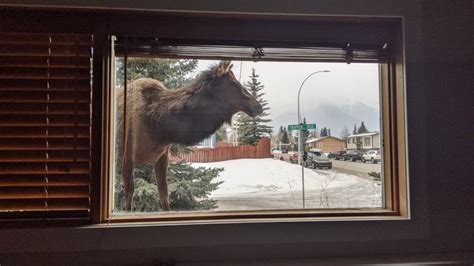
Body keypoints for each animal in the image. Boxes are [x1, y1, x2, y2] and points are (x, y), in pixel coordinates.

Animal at [115, 59, 262, 210]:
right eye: (233, 83)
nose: (258, 106)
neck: (160, 128)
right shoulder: (126, 156)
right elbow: (129, 195)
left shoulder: (162, 156)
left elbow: (164, 194)